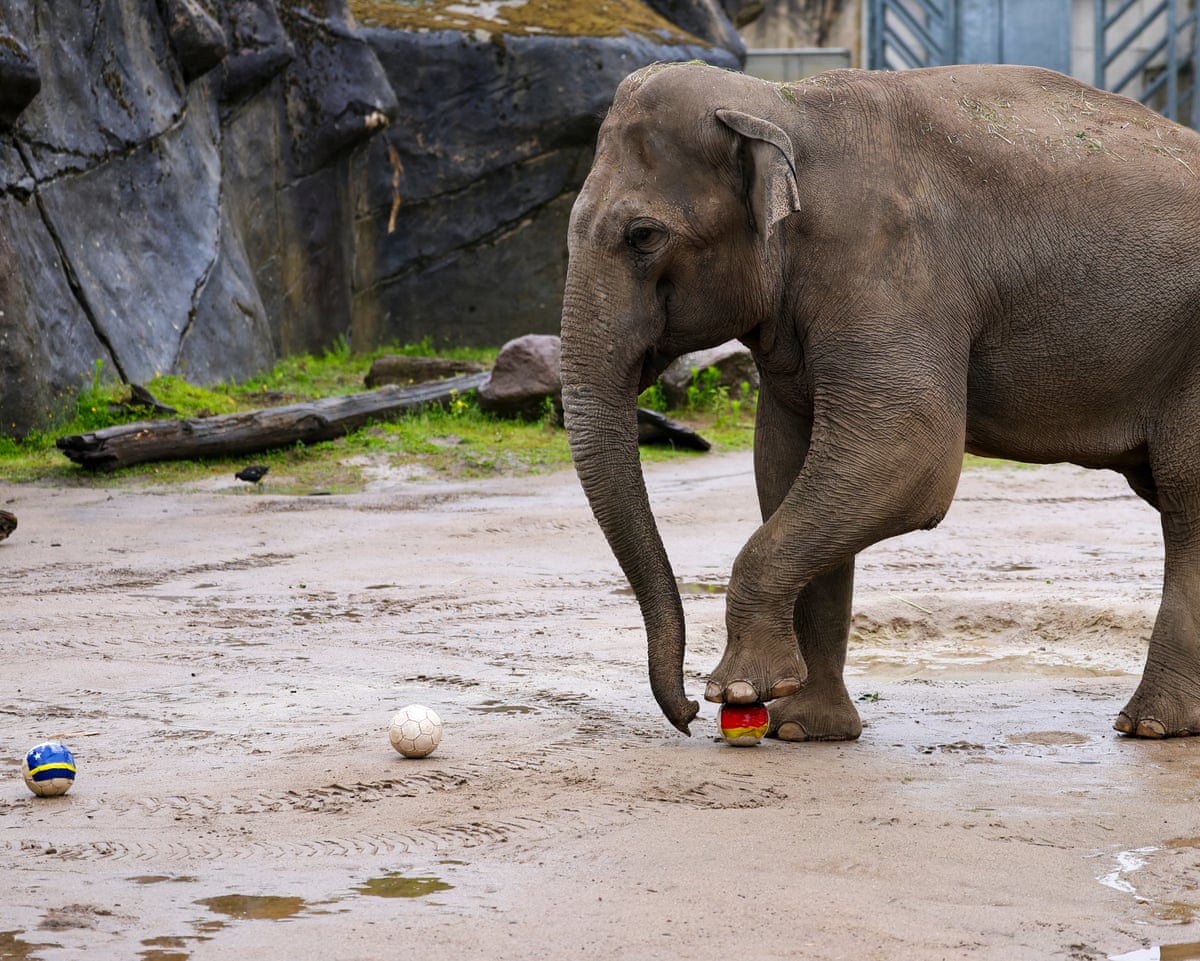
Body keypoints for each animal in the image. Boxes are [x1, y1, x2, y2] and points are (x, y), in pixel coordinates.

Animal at [559, 60, 1200, 741]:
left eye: (643, 236)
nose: (682, 715)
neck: (784, 105)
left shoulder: (891, 269)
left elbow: (906, 456)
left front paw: (743, 689)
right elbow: (785, 467)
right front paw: (802, 728)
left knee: (1187, 499)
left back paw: (1152, 725)